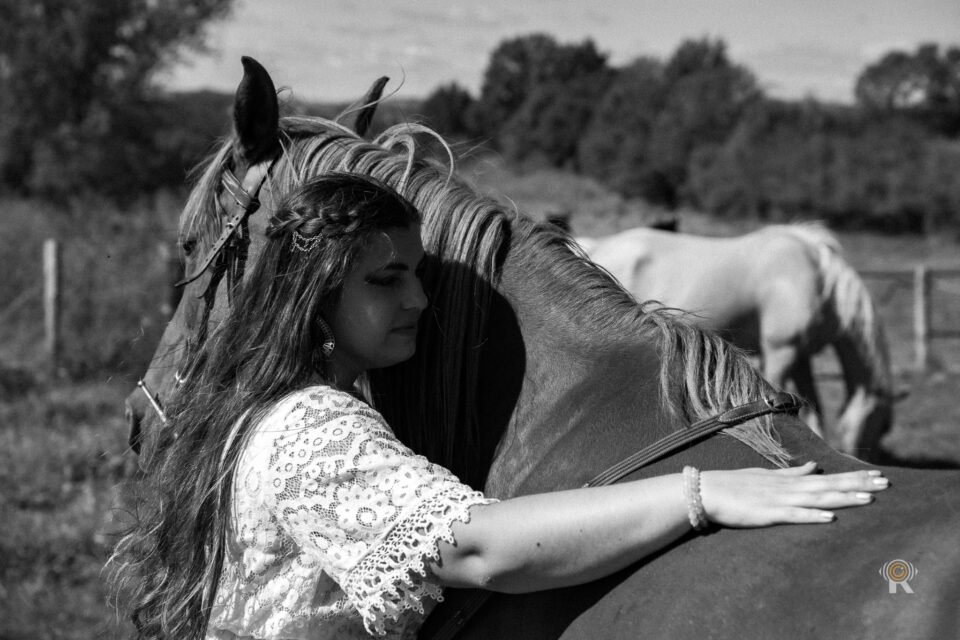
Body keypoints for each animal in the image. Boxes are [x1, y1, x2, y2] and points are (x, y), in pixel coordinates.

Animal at [573, 224, 895, 462]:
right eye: (880, 425)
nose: (870, 459)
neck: (820, 278)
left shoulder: (801, 357)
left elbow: (814, 408)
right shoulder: (781, 350)